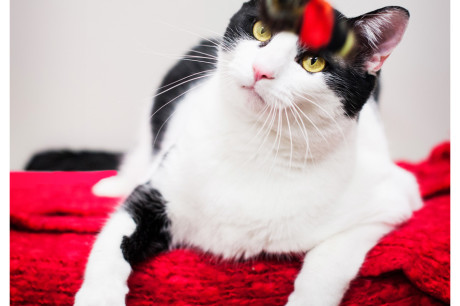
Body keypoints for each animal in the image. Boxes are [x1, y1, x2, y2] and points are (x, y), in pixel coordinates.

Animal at [73, 1, 422, 304]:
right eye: (261, 31)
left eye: (314, 62)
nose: (260, 69)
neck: (256, 143)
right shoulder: (157, 190)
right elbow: (113, 240)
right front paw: (99, 296)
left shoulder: (394, 199)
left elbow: (331, 260)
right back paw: (112, 184)